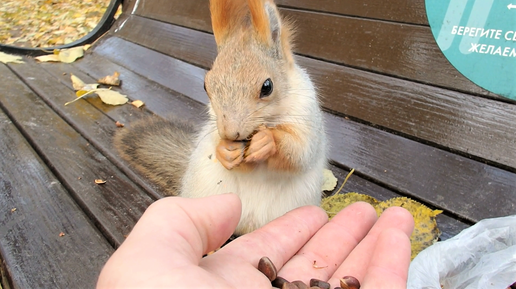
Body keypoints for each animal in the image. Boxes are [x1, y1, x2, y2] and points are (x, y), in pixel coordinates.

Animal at [115, 0, 328, 235]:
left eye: (267, 86)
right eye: (206, 86)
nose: (231, 133)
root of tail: (246, 227)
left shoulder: (307, 116)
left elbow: (299, 151)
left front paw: (267, 141)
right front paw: (226, 150)